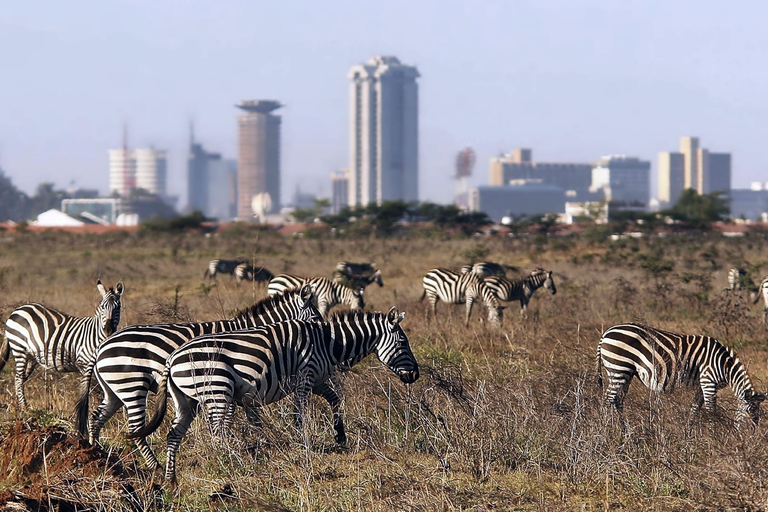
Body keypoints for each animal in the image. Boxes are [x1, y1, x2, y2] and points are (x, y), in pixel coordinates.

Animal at [0, 280, 123, 408]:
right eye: (102, 307)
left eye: (118, 307)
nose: (108, 330)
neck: (94, 334)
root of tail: (18, 309)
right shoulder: (84, 364)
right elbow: (87, 390)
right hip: (19, 349)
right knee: (18, 378)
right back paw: (24, 407)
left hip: (31, 357)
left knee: (21, 379)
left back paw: (20, 405)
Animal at [76, 286, 320, 470]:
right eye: (316, 318)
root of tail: (102, 346)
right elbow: (228, 419)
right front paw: (227, 448)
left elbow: (245, 417)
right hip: (132, 385)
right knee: (135, 429)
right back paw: (155, 467)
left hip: (114, 389)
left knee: (96, 418)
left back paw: (96, 456)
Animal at [130, 308, 420, 484]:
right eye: (403, 343)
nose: (415, 375)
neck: (328, 343)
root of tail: (171, 359)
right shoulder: (305, 375)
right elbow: (299, 413)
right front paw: (302, 443)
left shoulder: (317, 379)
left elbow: (335, 399)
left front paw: (340, 435)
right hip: (217, 390)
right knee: (217, 432)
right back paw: (229, 462)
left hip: (185, 400)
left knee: (174, 434)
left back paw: (171, 478)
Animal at [596, 324, 764, 428]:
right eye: (750, 413)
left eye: (759, 416)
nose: (751, 439)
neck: (724, 365)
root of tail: (605, 334)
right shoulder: (708, 381)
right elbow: (711, 410)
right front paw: (714, 435)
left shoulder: (702, 384)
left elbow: (695, 408)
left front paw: (688, 435)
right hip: (618, 368)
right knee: (607, 400)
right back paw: (606, 430)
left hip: (626, 372)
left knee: (618, 401)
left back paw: (624, 430)